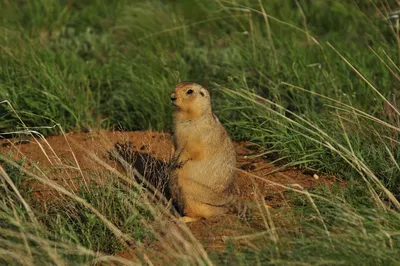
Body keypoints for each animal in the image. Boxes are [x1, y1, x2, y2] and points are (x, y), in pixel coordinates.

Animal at [168, 81, 236, 222]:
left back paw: (183, 219)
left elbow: (192, 150)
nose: (172, 97)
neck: (187, 116)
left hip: (191, 198)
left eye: (189, 91)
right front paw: (171, 157)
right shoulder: (175, 133)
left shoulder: (198, 136)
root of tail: (224, 209)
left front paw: (179, 160)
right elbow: (174, 143)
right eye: (176, 86)